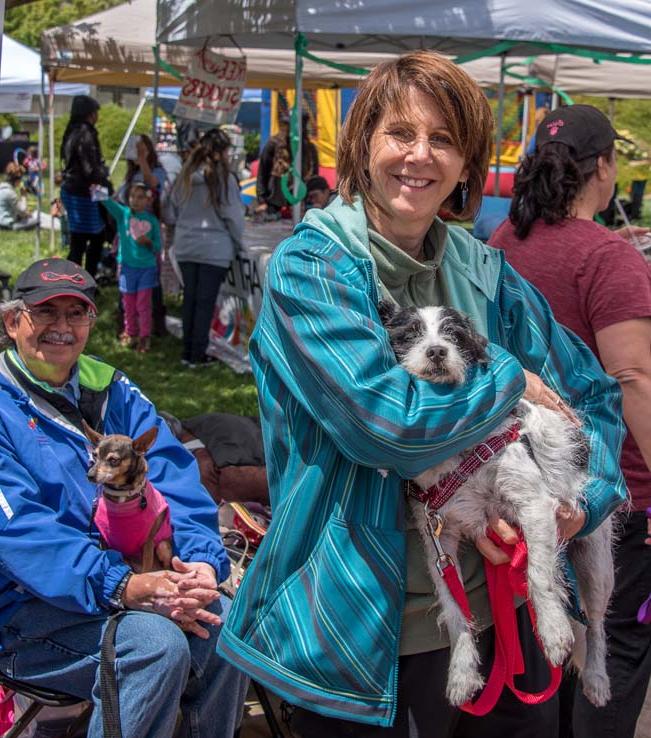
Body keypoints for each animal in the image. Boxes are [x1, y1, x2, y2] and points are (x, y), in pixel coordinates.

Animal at [380, 300, 612, 708]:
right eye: (408, 335)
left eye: (454, 335)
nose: (436, 351)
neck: (457, 451)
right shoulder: (439, 542)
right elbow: (454, 609)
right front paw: (462, 672)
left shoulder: (534, 506)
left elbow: (538, 574)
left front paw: (552, 631)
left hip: (596, 561)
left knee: (597, 624)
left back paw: (597, 678)